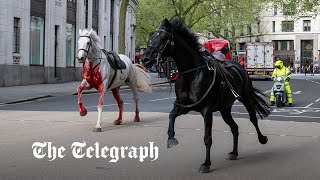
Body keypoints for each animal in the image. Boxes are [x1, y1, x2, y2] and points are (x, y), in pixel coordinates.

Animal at [141, 17, 272, 173]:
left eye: (163, 38)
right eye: (152, 37)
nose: (145, 59)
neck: (191, 74)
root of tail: (239, 66)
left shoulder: (207, 110)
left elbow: (207, 138)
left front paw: (206, 164)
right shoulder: (183, 106)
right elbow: (171, 116)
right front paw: (171, 139)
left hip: (246, 98)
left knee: (253, 119)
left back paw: (262, 139)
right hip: (225, 108)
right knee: (234, 127)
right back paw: (234, 153)